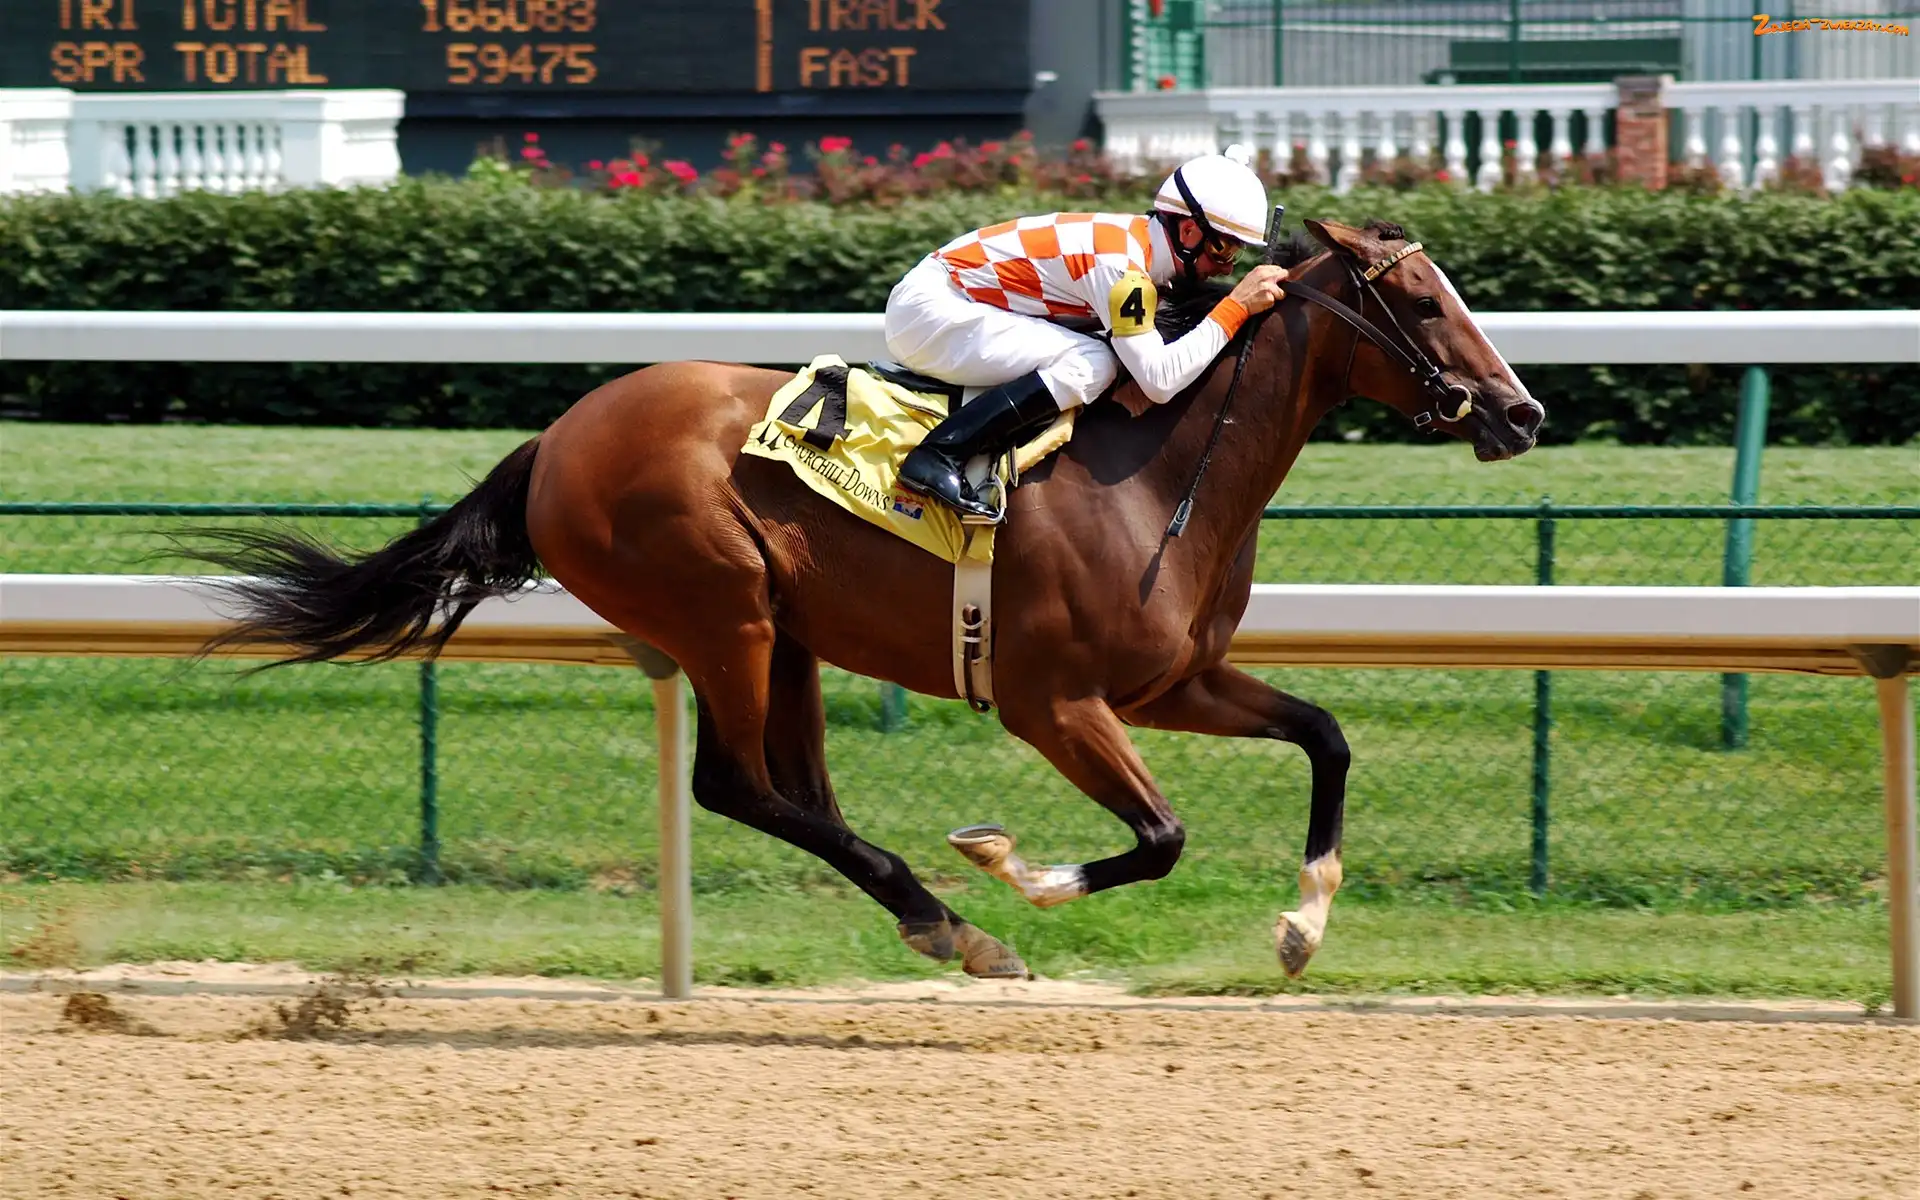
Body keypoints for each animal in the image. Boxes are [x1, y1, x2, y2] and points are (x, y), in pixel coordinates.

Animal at [193, 217, 1545, 981]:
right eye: (1421, 301)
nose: (1523, 411)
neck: (1161, 468)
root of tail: (558, 436)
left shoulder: (1172, 682)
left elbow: (1326, 736)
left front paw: (1303, 925)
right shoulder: (1055, 703)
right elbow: (1161, 837)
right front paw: (1011, 867)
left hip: (786, 634)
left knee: (796, 794)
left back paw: (936, 921)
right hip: (721, 610)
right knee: (737, 787)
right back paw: (958, 923)